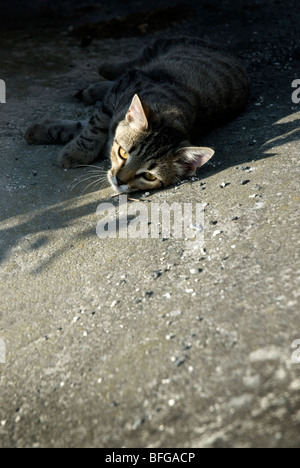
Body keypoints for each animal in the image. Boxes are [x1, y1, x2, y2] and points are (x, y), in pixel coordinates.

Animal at [24, 36, 250, 194]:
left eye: (148, 176)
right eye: (123, 153)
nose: (119, 181)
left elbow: (86, 126)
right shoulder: (117, 94)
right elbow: (93, 128)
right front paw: (73, 150)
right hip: (157, 48)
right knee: (131, 63)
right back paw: (104, 70)